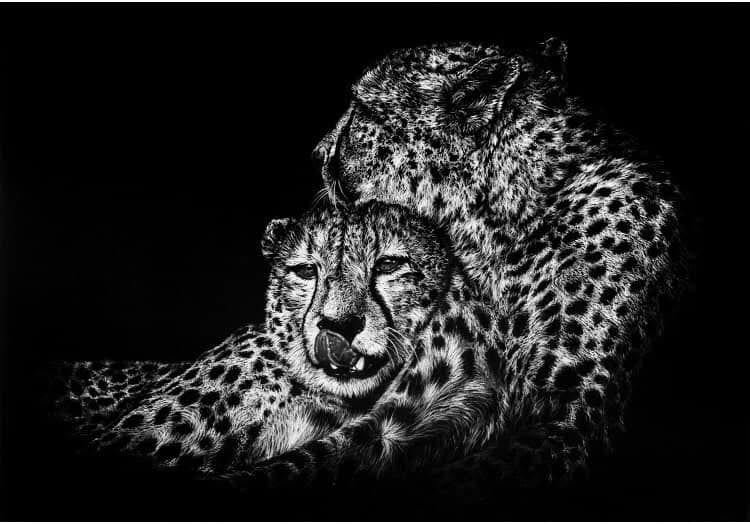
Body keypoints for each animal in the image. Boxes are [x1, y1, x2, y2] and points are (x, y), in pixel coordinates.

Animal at [223, 38, 687, 491]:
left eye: (359, 109)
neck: (499, 230)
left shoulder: (577, 422)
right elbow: (299, 462)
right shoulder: (407, 415)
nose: (317, 152)